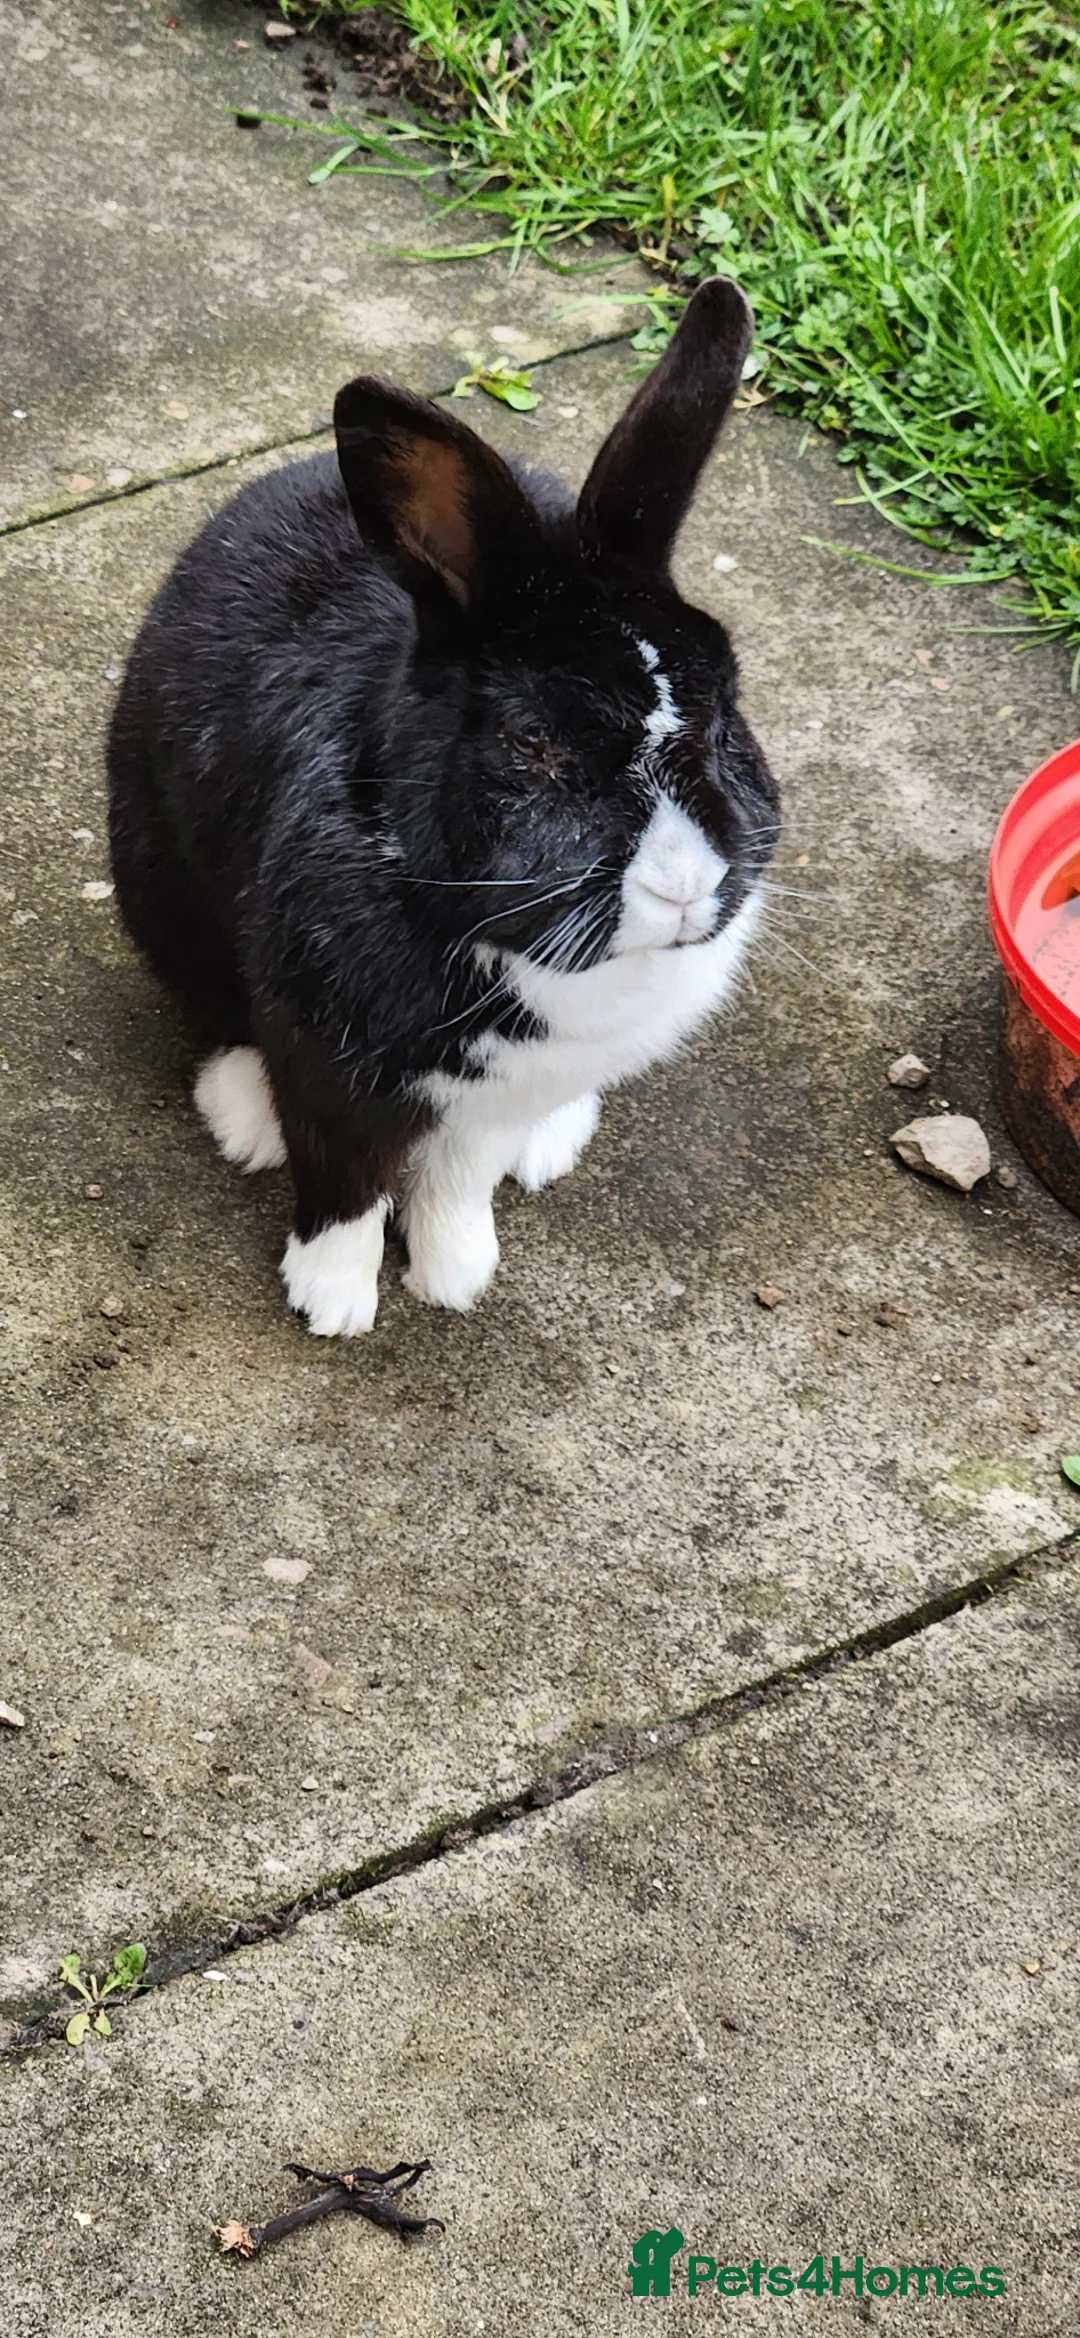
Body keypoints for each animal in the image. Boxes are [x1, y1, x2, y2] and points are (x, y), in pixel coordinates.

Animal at [107, 275, 779, 1336]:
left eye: (725, 719)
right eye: (534, 742)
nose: (683, 887)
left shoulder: (492, 1098)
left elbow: (457, 1178)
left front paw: (458, 1276)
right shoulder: (326, 1062)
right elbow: (343, 1179)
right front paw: (333, 1303)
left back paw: (552, 1143)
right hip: (160, 893)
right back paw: (244, 1116)